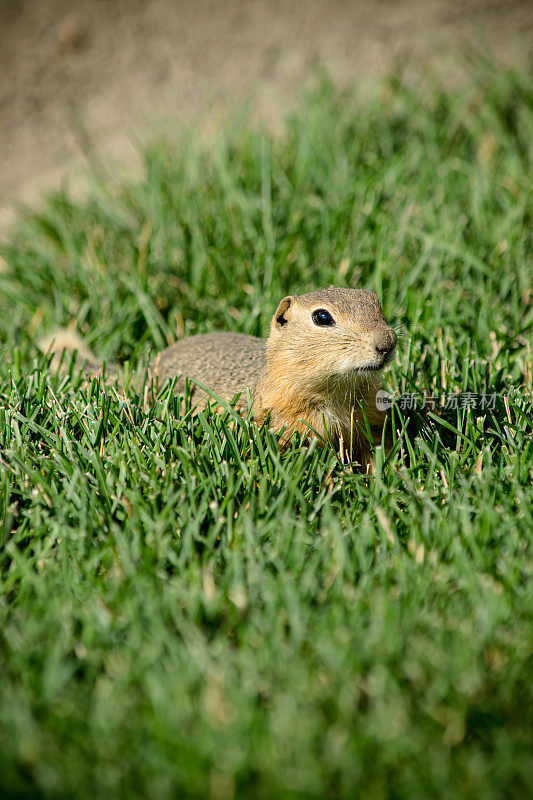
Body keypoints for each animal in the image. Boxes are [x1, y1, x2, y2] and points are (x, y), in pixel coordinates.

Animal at [41, 290, 396, 468]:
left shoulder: (371, 421)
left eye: (375, 300)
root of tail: (144, 370)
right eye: (322, 317)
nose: (388, 343)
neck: (339, 392)